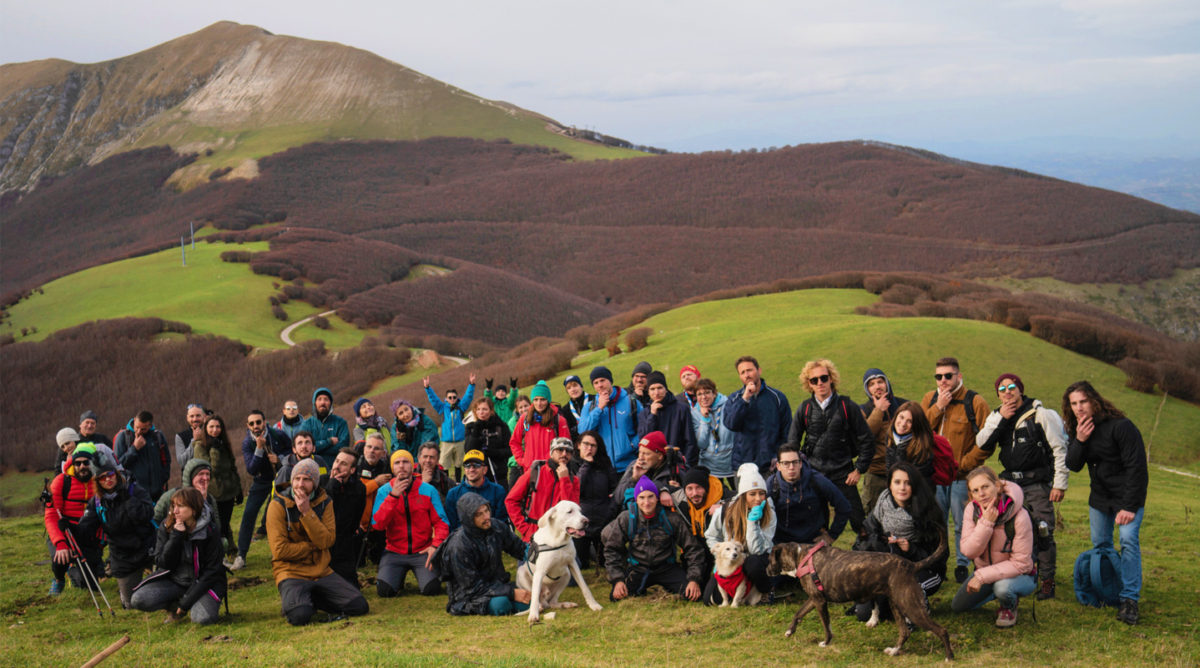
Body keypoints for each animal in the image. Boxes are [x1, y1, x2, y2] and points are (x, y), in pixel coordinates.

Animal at [768, 537, 955, 657]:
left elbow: (826, 626)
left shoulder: (820, 601)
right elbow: (798, 614)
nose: (766, 570)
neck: (800, 557)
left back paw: (949, 657)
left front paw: (826, 643)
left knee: (942, 630)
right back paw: (894, 651)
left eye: (770, 560)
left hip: (911, 606)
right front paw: (790, 631)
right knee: (904, 632)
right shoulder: (814, 598)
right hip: (897, 605)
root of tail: (910, 564)